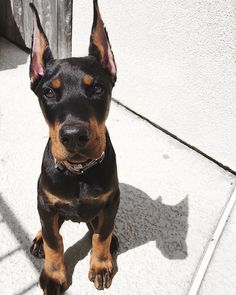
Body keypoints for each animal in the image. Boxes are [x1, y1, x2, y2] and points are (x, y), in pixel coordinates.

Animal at [28, 1, 120, 294]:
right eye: (48, 92)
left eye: (98, 88)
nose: (74, 136)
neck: (79, 172)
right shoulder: (46, 203)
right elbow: (53, 240)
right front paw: (54, 275)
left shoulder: (111, 200)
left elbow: (101, 235)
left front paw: (101, 266)